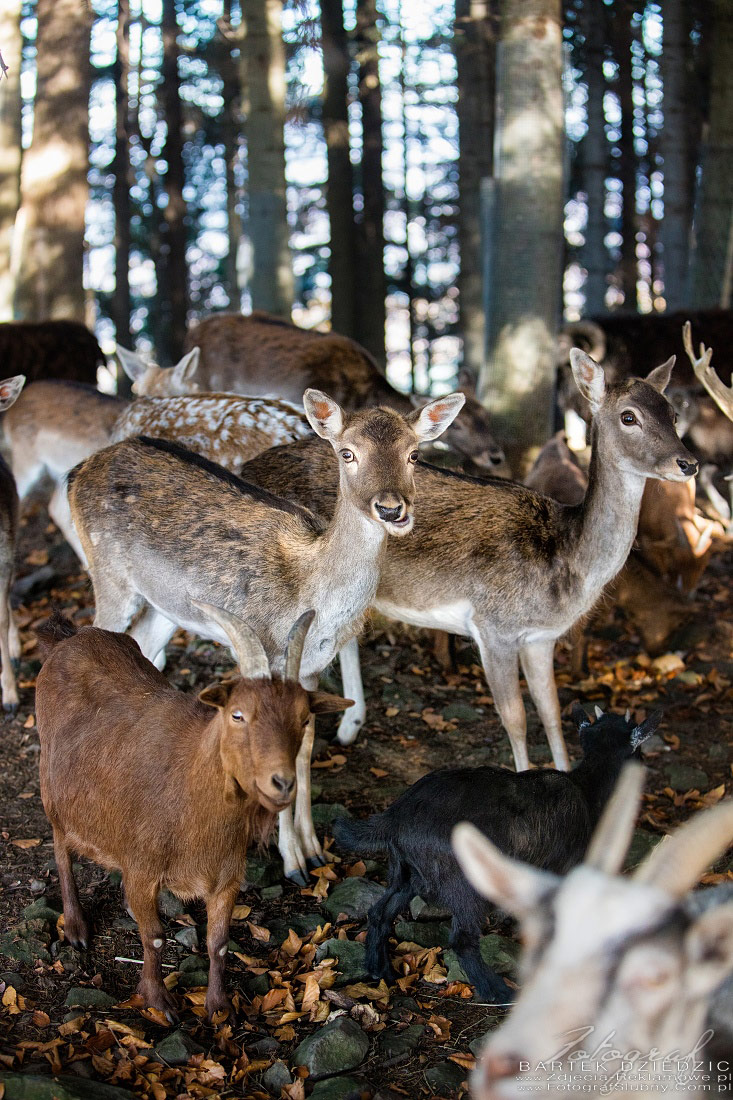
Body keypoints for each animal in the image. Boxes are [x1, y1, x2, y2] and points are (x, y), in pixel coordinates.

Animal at [37, 607, 352, 1016]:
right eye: (237, 715)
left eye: (304, 719)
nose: (282, 783)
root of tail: (68, 636)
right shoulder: (142, 870)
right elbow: (154, 937)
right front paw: (158, 1001)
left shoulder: (226, 879)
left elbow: (218, 944)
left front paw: (218, 1007)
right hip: (52, 789)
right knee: (61, 850)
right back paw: (76, 927)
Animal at [67, 391, 462, 880]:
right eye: (347, 453)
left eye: (415, 454)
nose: (392, 509)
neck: (313, 588)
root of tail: (78, 470)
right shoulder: (267, 652)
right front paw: (292, 862)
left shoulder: (311, 666)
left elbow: (305, 746)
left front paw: (315, 850)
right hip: (107, 574)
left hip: (165, 606)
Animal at [241, 349, 695, 765]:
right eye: (629, 417)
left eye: (673, 414)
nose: (687, 462)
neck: (565, 564)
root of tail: (247, 465)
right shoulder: (494, 628)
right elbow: (517, 720)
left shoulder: (542, 638)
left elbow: (552, 714)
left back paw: (349, 728)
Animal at [334, 704, 660, 1007]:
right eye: (639, 752)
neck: (588, 790)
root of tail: (395, 816)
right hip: (464, 885)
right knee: (462, 940)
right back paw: (498, 991)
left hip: (405, 873)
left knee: (380, 912)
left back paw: (380, 969)